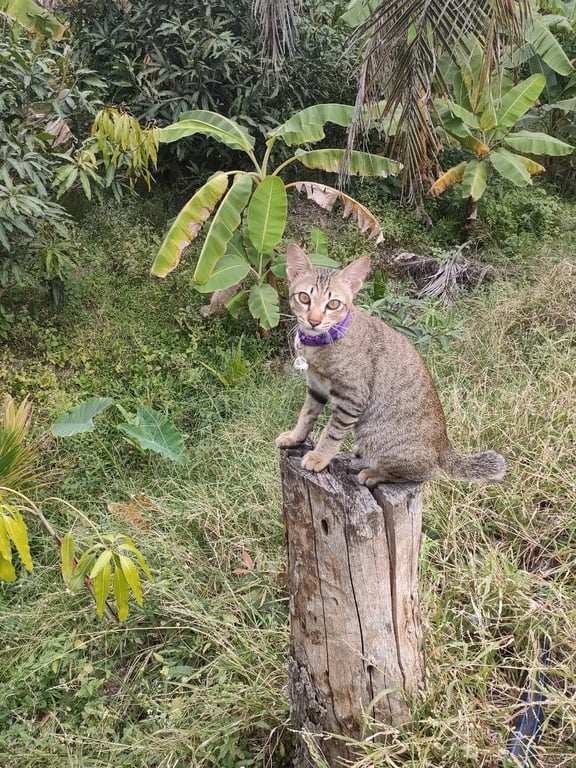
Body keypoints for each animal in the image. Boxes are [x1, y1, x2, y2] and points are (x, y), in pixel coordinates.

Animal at [276, 243, 507, 485]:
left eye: (333, 304)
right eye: (304, 298)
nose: (314, 321)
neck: (320, 344)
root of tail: (444, 446)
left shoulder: (352, 397)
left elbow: (331, 432)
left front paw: (319, 457)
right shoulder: (316, 387)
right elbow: (306, 415)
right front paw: (295, 437)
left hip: (373, 434)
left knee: (425, 473)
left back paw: (373, 473)